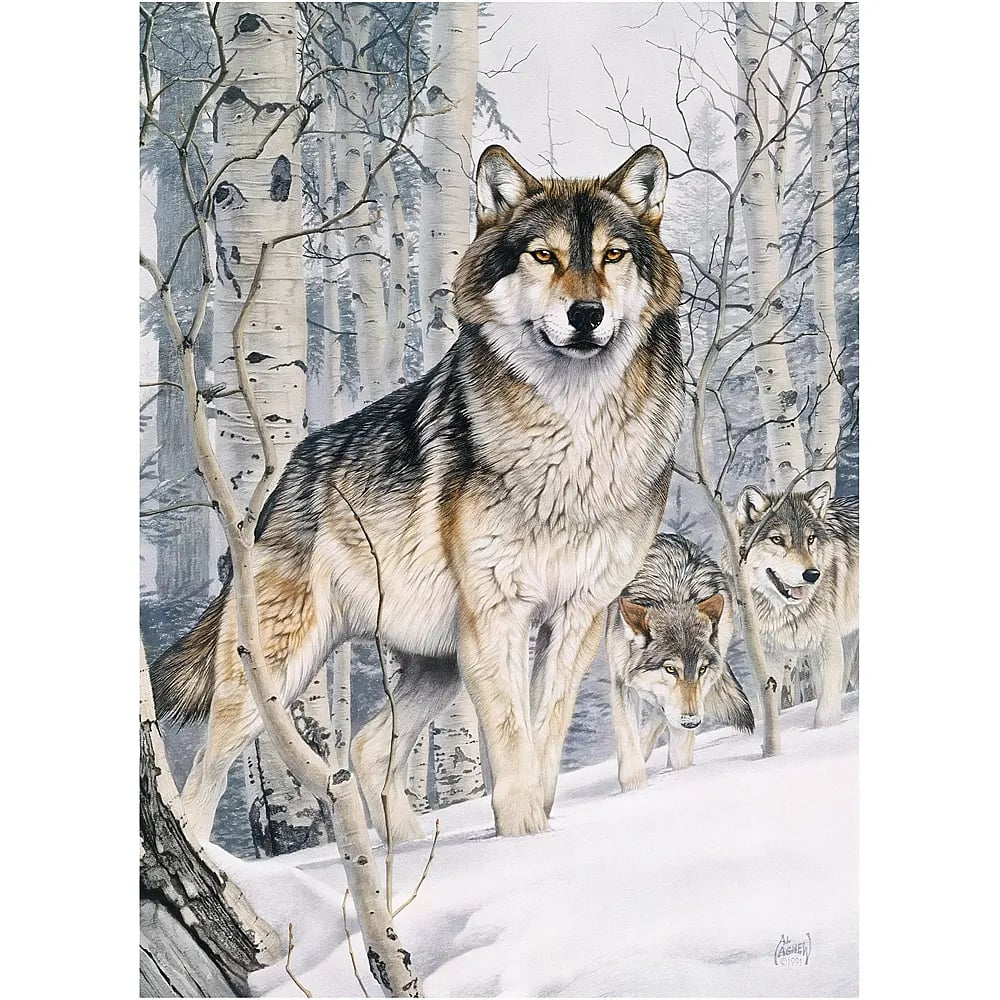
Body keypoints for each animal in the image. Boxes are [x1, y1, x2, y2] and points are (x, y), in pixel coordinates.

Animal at [152, 143, 686, 844]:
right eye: (543, 256)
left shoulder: (579, 614)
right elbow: (512, 742)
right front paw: (521, 839)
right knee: (202, 784)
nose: (586, 314)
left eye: (612, 255)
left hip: (439, 666)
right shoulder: (497, 615)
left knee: (366, 746)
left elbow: (545, 737)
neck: (573, 438)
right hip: (278, 674)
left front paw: (538, 831)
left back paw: (406, 848)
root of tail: (276, 490)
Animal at [604, 534, 754, 791]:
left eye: (701, 669)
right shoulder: (622, 684)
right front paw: (633, 792)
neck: (675, 594)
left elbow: (680, 757)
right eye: (670, 669)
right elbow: (631, 757)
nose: (692, 722)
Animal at [736, 483, 859, 727]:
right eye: (777, 540)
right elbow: (771, 708)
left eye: (810, 539)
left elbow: (825, 713)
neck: (784, 611)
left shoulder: (827, 646)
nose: (812, 574)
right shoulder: (768, 656)